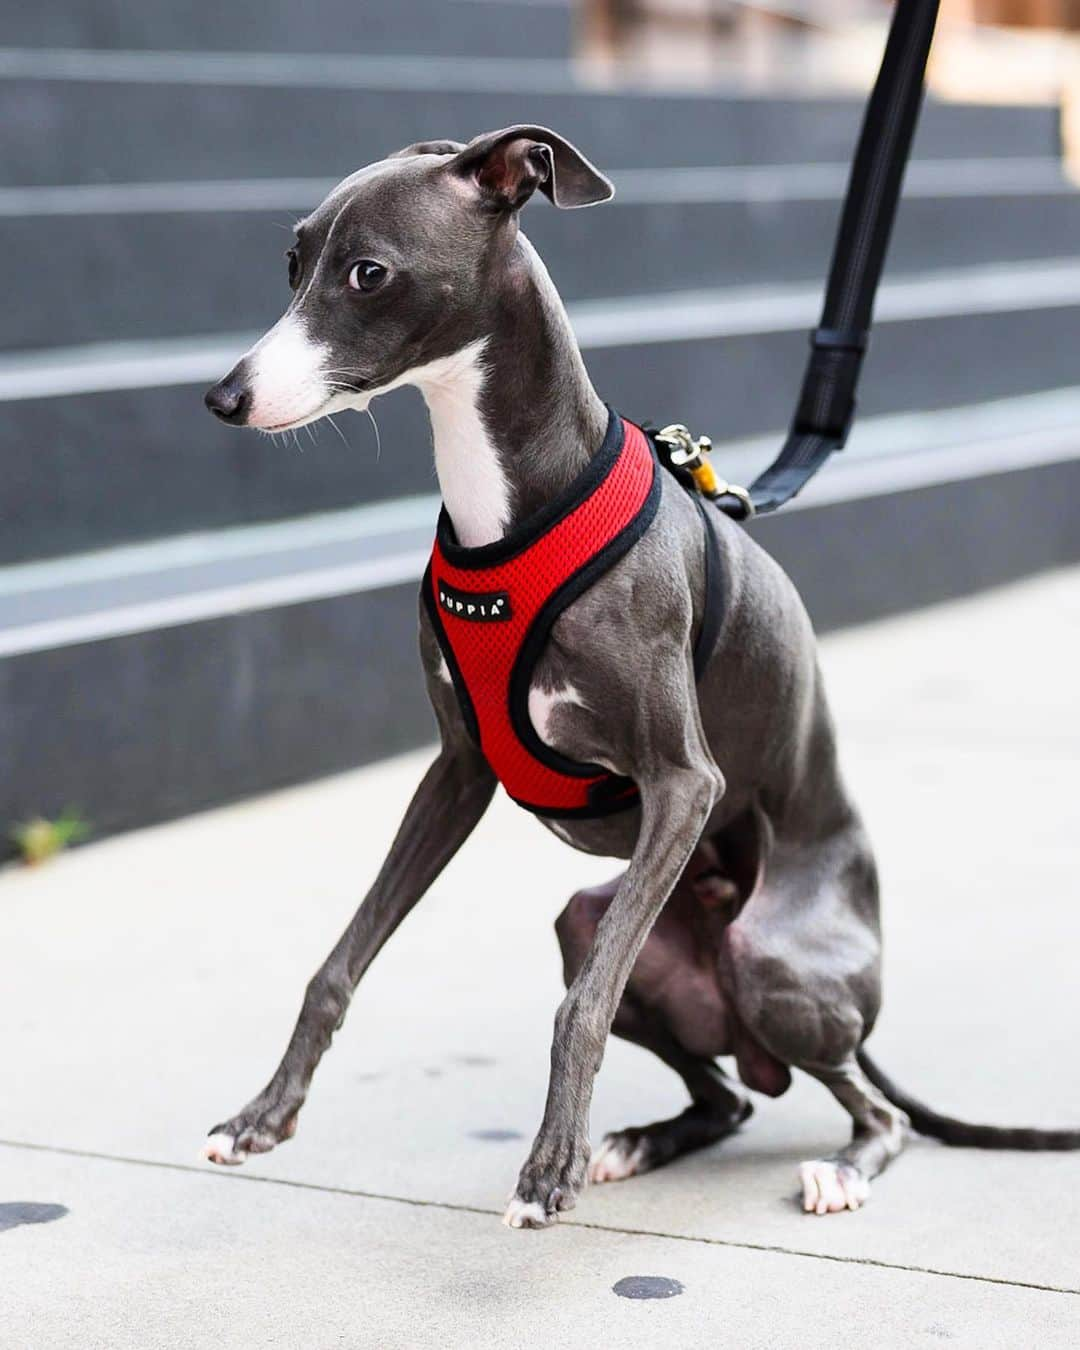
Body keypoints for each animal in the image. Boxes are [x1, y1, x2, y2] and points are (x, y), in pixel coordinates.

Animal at [205, 126, 1080, 1225]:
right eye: (293, 262)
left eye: (368, 273)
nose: (223, 398)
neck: (508, 518)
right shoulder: (456, 773)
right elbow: (338, 964)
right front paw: (264, 1115)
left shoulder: (684, 784)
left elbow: (580, 1010)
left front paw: (548, 1167)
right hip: (588, 921)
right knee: (724, 1094)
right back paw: (636, 1141)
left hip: (770, 960)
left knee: (878, 1113)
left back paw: (831, 1166)